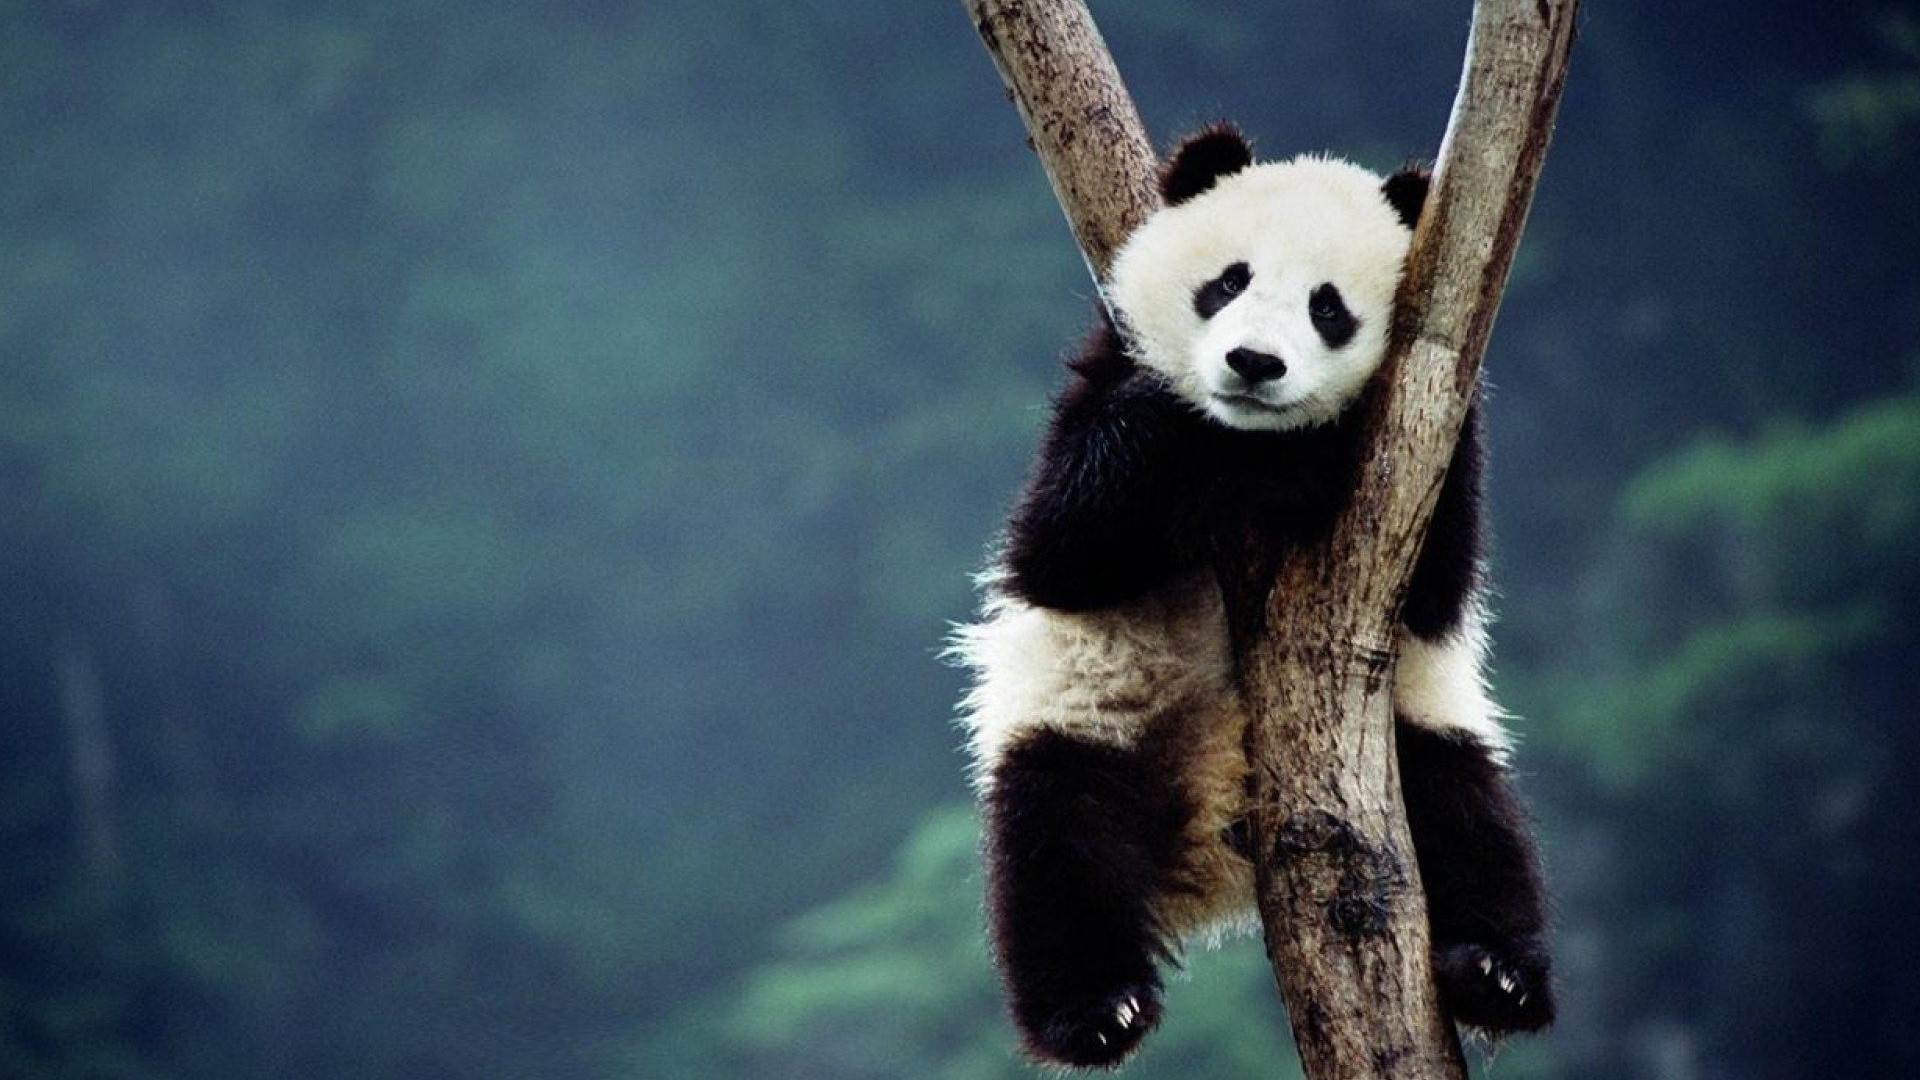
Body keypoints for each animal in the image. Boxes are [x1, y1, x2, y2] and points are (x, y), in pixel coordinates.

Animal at [952, 124, 1553, 1070]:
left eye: (1328, 308)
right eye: (1228, 282)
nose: (1252, 364)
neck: (1247, 443)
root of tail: (1212, 848)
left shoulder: (1430, 436)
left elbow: (1436, 588)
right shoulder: (1101, 381)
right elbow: (1060, 546)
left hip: (1413, 738)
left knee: (1471, 818)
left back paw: (1497, 973)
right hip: (1086, 721)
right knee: (1055, 851)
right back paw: (1097, 1011)